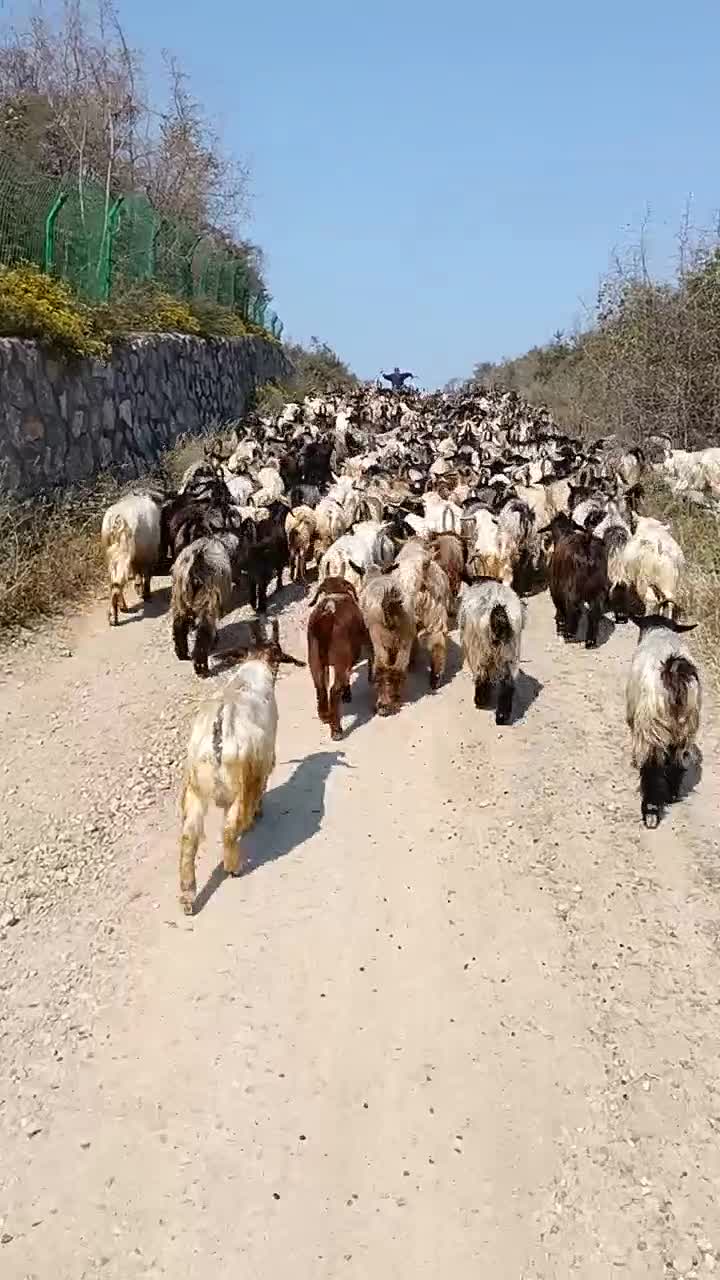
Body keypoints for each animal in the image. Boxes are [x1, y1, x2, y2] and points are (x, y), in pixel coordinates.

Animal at [99, 491, 160, 627]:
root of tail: (117, 517)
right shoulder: (150, 554)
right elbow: (147, 575)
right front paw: (146, 594)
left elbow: (138, 574)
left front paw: (139, 589)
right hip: (124, 552)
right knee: (117, 584)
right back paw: (115, 615)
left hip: (110, 552)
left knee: (113, 582)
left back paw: (121, 608)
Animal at [179, 616, 304, 911]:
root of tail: (217, 738)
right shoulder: (264, 763)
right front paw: (258, 814)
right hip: (240, 785)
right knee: (229, 827)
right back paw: (233, 865)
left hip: (195, 788)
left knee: (189, 836)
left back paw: (188, 895)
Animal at [304, 581, 366, 742]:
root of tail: (327, 615)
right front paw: (347, 694)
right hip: (340, 661)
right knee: (333, 690)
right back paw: (336, 730)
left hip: (315, 660)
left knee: (320, 686)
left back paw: (325, 715)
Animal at [456, 583, 525, 727]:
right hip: (509, 651)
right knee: (507, 684)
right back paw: (502, 716)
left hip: (479, 650)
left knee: (482, 676)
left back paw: (480, 700)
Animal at [625, 611, 696, 829]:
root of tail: (674, 670)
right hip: (685, 726)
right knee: (676, 761)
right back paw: (671, 795)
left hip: (652, 725)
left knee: (653, 766)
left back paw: (651, 812)